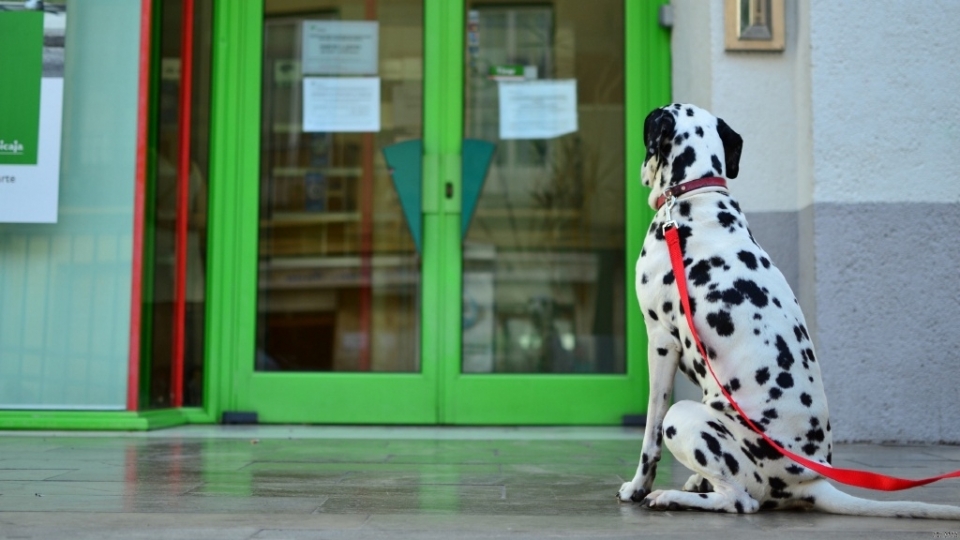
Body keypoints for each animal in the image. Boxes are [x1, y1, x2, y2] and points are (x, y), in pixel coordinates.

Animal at [620, 103, 956, 520]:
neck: (695, 197)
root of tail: (810, 481)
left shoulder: (661, 343)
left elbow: (648, 436)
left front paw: (637, 487)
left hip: (682, 416)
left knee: (740, 500)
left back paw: (671, 497)